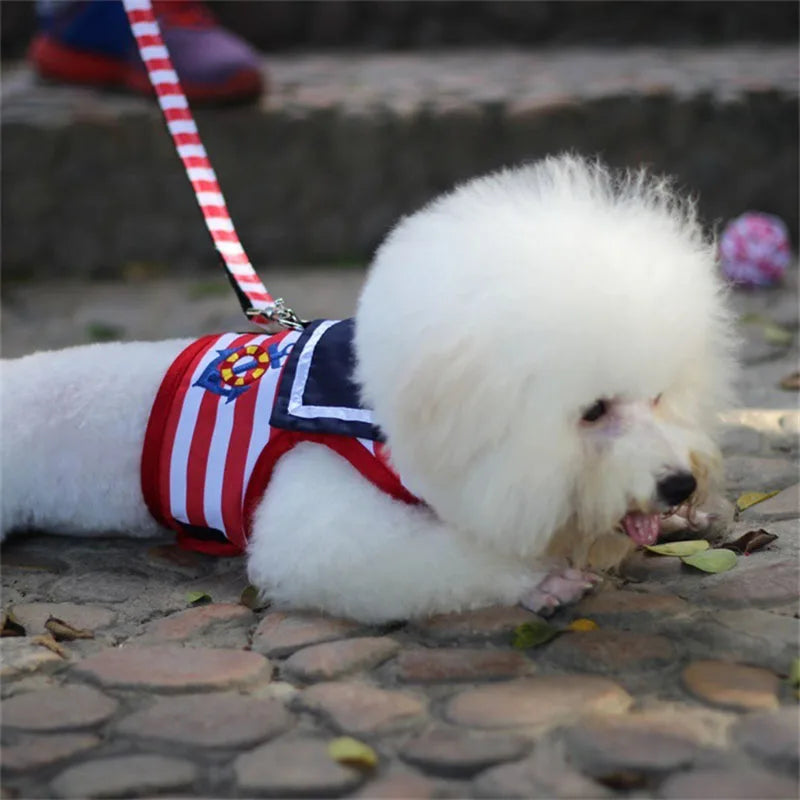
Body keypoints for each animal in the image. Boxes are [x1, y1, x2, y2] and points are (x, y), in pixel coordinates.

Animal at [0, 153, 736, 620]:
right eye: (592, 411)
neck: (388, 417)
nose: (679, 484)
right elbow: (429, 556)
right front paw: (544, 579)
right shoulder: (322, 518)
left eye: (661, 395)